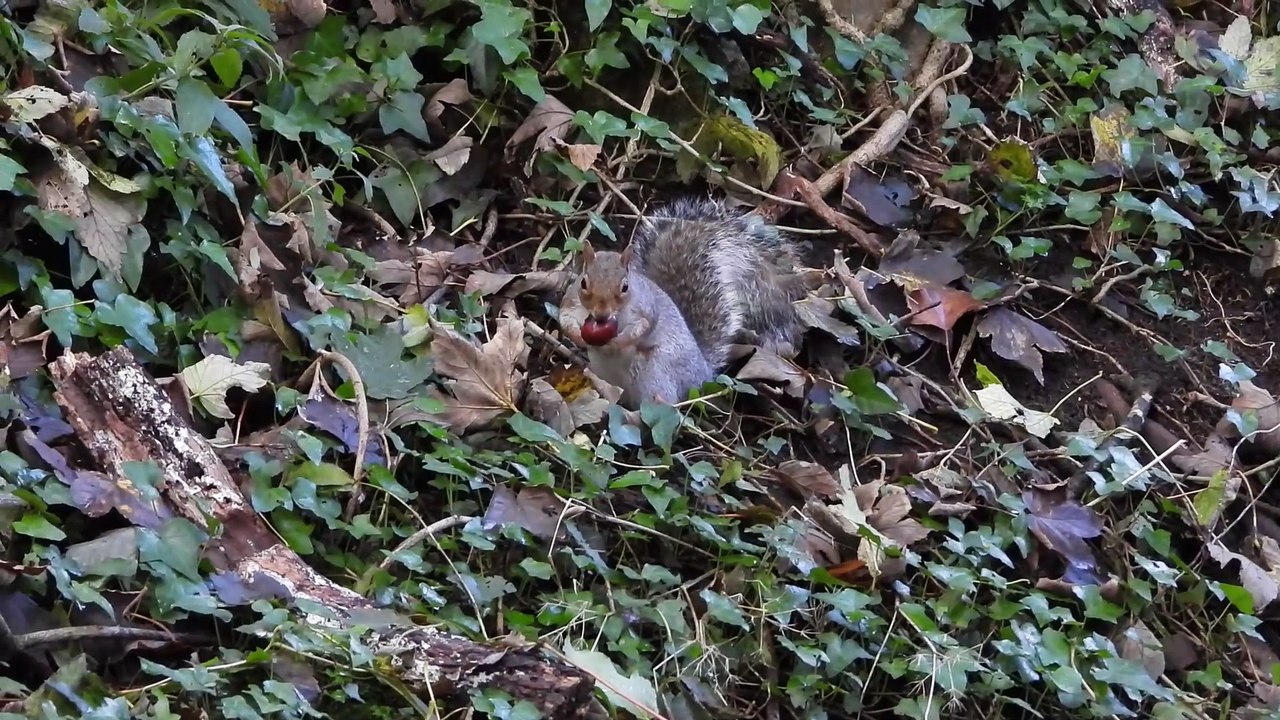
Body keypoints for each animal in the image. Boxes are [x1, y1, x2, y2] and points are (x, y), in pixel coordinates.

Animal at [558, 197, 811, 408]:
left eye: (625, 287)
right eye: (584, 282)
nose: (601, 315)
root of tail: (702, 374)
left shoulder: (646, 307)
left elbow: (644, 325)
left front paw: (620, 340)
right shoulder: (571, 300)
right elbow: (565, 316)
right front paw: (577, 335)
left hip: (655, 374)